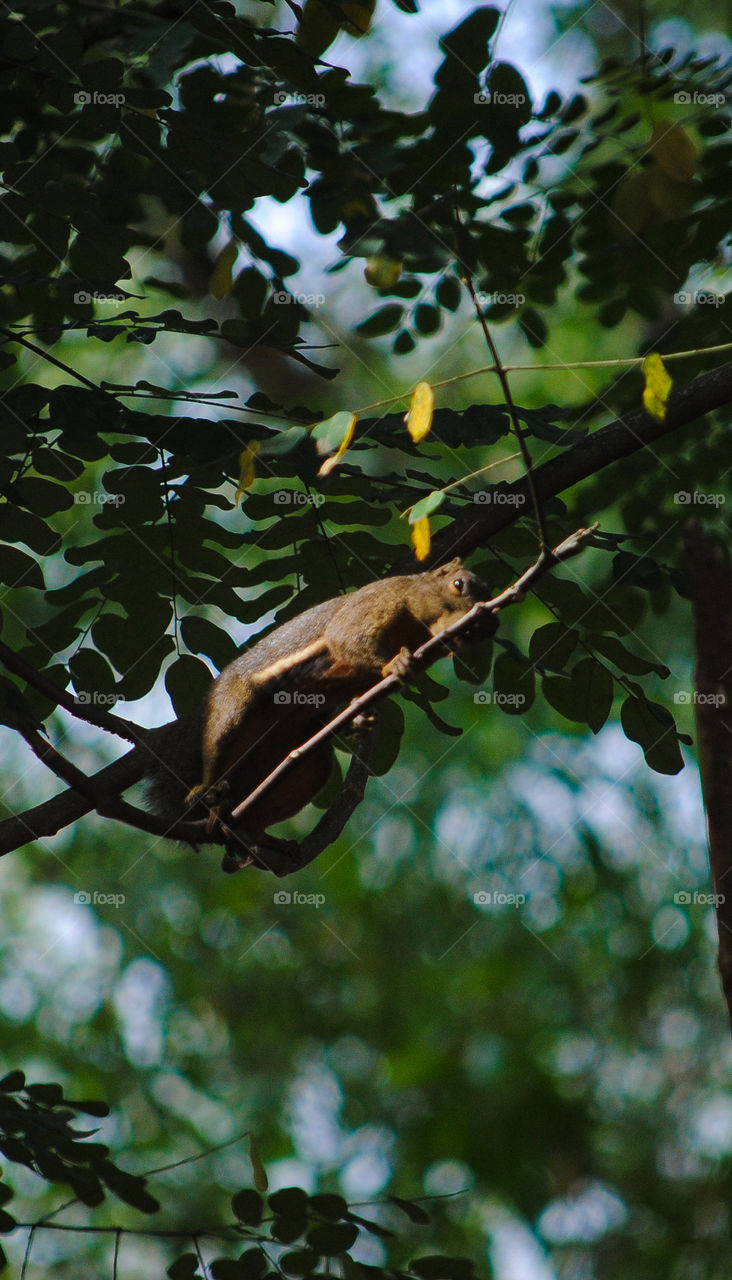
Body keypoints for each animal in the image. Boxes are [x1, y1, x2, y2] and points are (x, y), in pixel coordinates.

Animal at [145, 557, 491, 865]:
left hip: (303, 767)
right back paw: (203, 790)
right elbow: (346, 639)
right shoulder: (373, 603)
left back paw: (258, 835)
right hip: (233, 711)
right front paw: (396, 663)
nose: (478, 627)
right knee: (218, 748)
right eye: (458, 584)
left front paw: (359, 719)